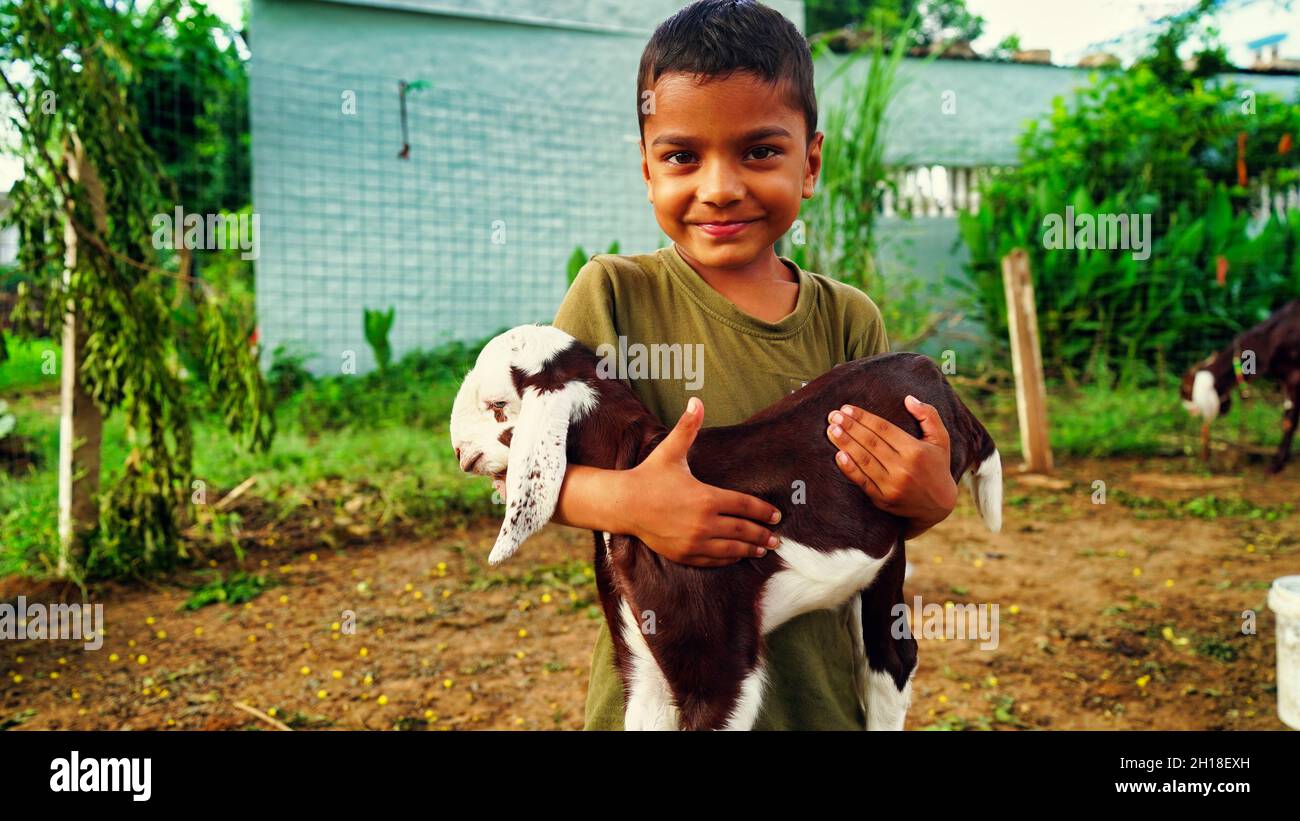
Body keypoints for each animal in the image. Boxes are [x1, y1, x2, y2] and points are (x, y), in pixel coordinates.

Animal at [449, 323, 1003, 727]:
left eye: (497, 406)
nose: (459, 453)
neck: (638, 459)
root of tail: (934, 373)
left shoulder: (720, 671)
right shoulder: (642, 657)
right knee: (888, 658)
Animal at [1180, 298, 1300, 470]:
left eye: (1185, 390)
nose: (1185, 408)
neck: (1270, 339)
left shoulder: (1295, 376)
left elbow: (1289, 422)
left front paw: (1276, 464)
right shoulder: (1286, 381)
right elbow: (1287, 419)